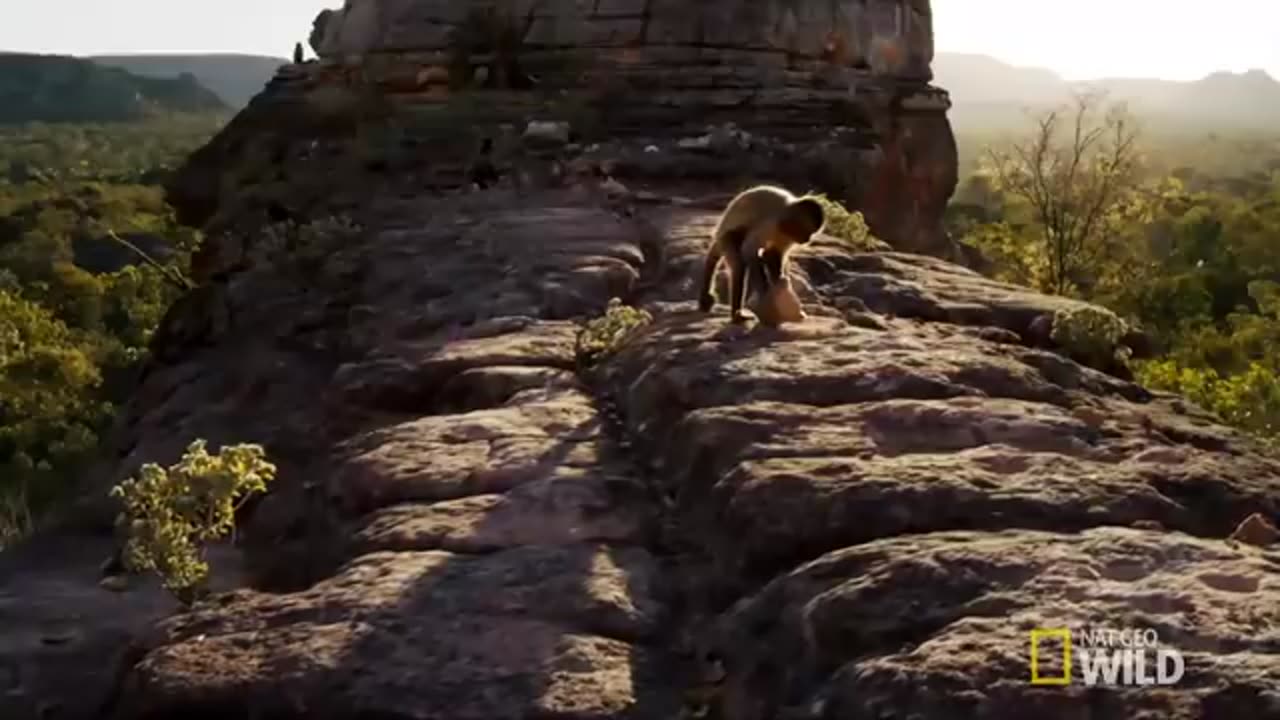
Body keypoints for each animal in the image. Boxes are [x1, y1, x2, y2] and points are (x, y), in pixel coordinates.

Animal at [696, 184, 824, 322]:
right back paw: (737, 315)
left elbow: (772, 253)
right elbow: (749, 250)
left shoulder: (785, 232)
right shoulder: (772, 222)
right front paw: (765, 293)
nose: (808, 239)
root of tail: (718, 231)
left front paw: (779, 285)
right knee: (739, 263)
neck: (786, 212)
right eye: (808, 231)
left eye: (811, 233)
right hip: (726, 237)